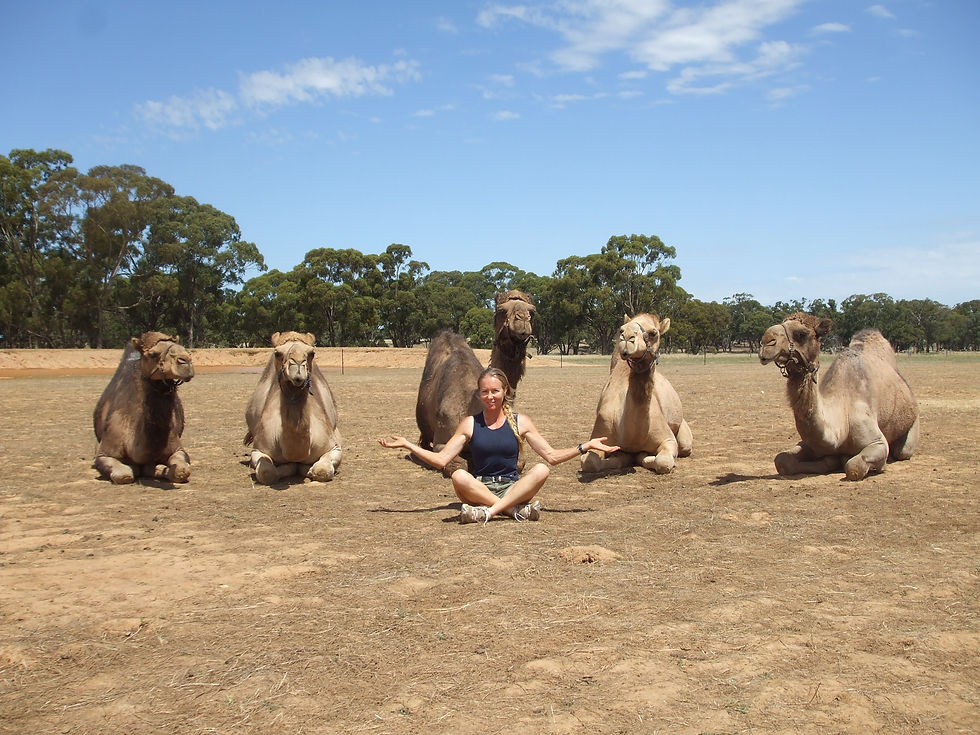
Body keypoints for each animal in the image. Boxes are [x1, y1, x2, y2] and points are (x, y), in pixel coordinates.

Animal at [93, 331, 194, 484]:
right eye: (152, 354)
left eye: (182, 346)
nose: (185, 360)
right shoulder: (104, 454)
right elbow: (124, 474)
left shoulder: (178, 449)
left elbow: (181, 471)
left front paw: (160, 469)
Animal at [244, 331, 342, 484]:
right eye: (277, 353)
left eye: (312, 353)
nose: (297, 365)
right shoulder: (259, 449)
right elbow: (267, 472)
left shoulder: (335, 447)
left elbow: (322, 470)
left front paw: (309, 470)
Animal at [415, 289, 536, 475]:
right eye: (501, 310)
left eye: (532, 311)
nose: (522, 318)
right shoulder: (441, 442)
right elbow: (458, 465)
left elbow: (519, 463)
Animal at [581, 313, 692, 474]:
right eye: (621, 329)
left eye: (653, 333)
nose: (627, 337)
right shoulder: (601, 434)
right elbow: (589, 462)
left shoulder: (668, 439)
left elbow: (663, 461)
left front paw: (647, 458)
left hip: (683, 433)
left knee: (684, 446)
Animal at [759, 312, 920, 480]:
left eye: (801, 334)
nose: (766, 341)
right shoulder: (811, 443)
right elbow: (782, 460)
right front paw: (830, 461)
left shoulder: (878, 442)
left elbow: (854, 467)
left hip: (913, 423)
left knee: (902, 451)